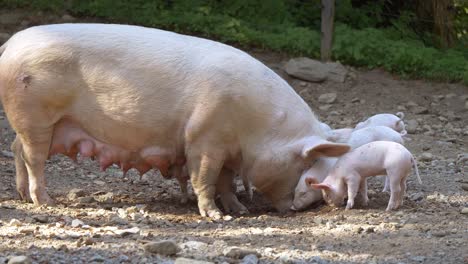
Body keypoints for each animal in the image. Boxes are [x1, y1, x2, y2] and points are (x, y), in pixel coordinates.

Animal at [0, 23, 350, 219]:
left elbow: (226, 182)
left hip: (37, 124)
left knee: (16, 149)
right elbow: (205, 177)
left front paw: (238, 210)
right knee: (33, 158)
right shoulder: (204, 138)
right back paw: (45, 201)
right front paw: (216, 217)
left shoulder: (227, 150)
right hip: (35, 115)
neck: (258, 128)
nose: (306, 207)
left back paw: (22, 196)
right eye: (305, 165)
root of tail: (11, 44)